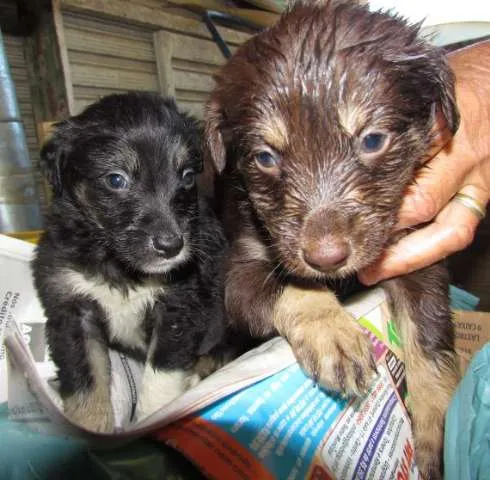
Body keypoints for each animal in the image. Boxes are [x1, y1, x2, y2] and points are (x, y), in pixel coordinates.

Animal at [32, 93, 228, 432]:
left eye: (188, 176)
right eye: (116, 179)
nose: (172, 246)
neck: (118, 265)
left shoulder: (177, 309)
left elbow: (160, 377)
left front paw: (151, 419)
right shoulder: (71, 309)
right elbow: (85, 380)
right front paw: (90, 430)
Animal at [205, 0, 462, 476]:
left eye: (373, 140)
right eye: (265, 157)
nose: (326, 258)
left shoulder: (418, 257)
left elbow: (429, 335)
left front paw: (437, 424)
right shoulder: (240, 273)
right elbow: (293, 287)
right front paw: (333, 334)